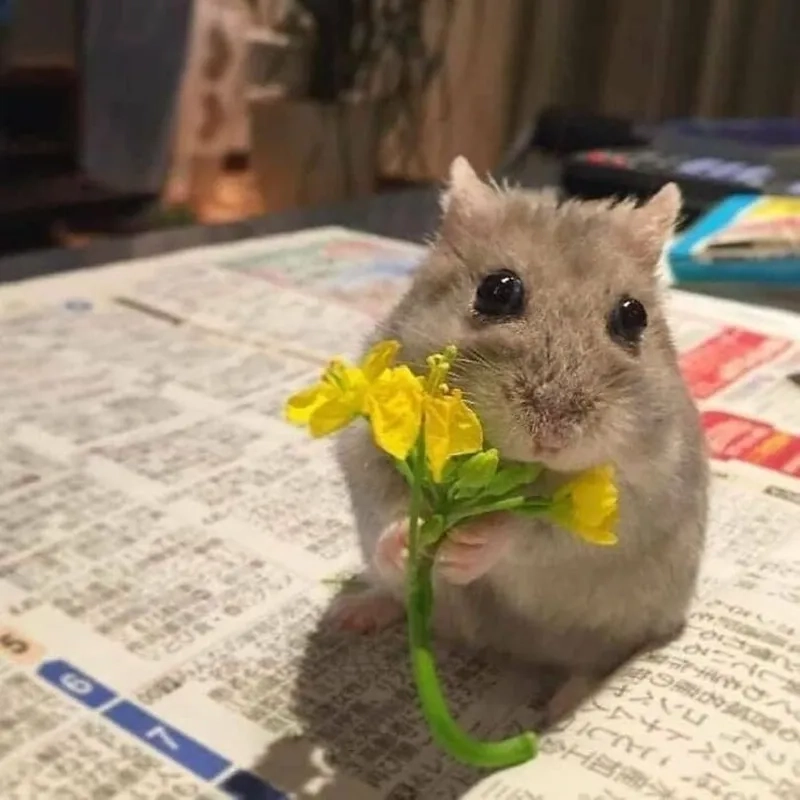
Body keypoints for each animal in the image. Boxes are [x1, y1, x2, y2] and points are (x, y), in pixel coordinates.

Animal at [332, 156, 709, 725]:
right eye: (497, 290)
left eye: (633, 316)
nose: (551, 433)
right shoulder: (366, 447)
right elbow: (391, 503)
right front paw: (408, 541)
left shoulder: (642, 495)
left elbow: (530, 532)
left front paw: (470, 547)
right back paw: (353, 613)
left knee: (593, 662)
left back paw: (560, 708)